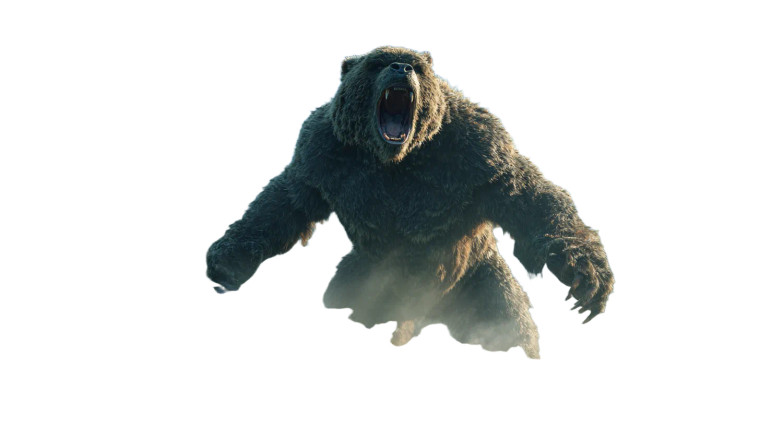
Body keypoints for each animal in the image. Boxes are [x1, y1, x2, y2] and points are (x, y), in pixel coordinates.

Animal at [206, 46, 614, 358]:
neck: (394, 160)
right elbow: (286, 203)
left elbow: (530, 198)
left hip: (479, 285)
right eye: (377, 62)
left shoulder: (480, 151)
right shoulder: (321, 153)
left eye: (415, 64)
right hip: (364, 279)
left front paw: (586, 273)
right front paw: (226, 259)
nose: (400, 67)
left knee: (510, 321)